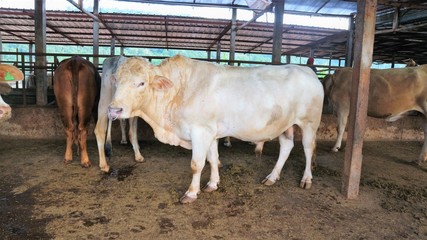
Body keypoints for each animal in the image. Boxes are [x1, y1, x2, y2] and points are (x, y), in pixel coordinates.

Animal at [108, 55, 324, 203]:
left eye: (141, 83)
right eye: (117, 81)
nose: (114, 109)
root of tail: (308, 72)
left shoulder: (200, 131)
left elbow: (196, 164)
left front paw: (191, 193)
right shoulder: (210, 132)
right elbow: (212, 159)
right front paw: (212, 184)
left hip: (309, 123)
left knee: (308, 148)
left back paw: (306, 179)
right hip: (286, 125)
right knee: (286, 147)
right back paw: (272, 177)